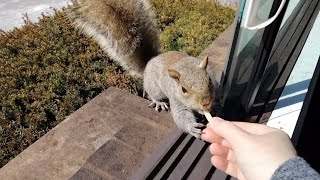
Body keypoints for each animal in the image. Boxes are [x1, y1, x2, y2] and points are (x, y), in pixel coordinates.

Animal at [69, 0, 216, 138]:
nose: (205, 103)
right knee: (153, 94)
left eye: (209, 81)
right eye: (183, 89)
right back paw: (159, 102)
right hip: (154, 87)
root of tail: (150, 61)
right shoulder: (176, 99)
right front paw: (192, 127)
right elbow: (181, 115)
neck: (185, 66)